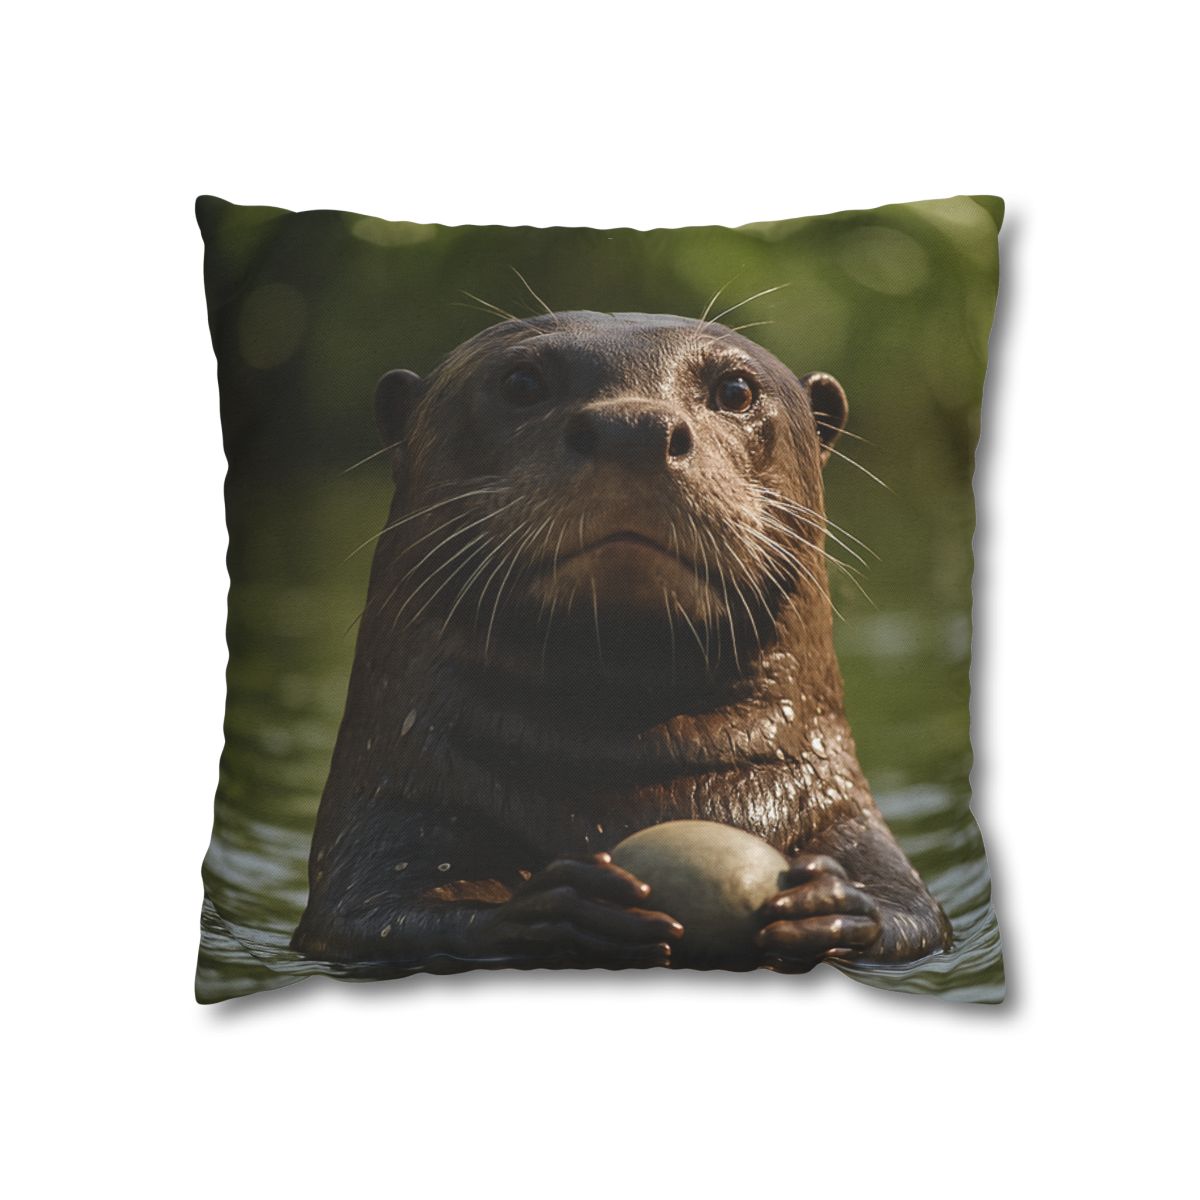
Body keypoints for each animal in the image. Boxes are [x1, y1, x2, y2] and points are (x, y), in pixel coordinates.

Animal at [292, 310, 952, 973]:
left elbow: (913, 917)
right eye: (522, 382)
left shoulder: (847, 820)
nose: (633, 427)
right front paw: (564, 906)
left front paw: (827, 905)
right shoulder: (388, 820)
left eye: (735, 390)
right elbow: (380, 915)